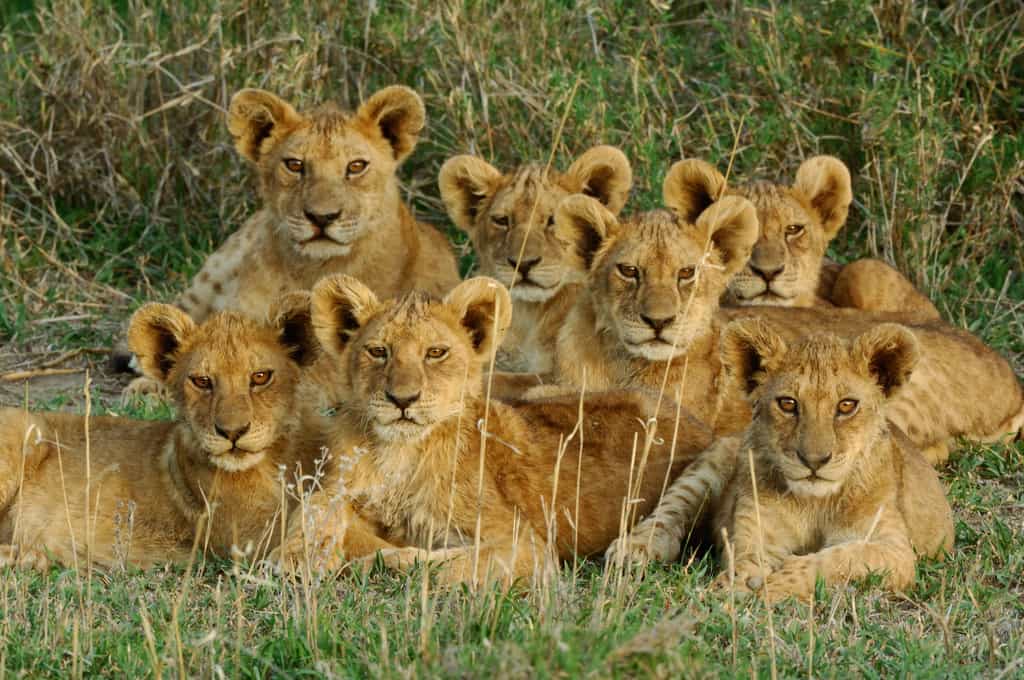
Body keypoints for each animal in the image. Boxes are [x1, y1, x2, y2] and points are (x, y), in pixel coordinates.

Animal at [0, 295, 323, 569]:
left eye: (260, 377)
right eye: (202, 381)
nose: (232, 432)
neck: (277, 456)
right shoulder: (248, 536)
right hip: (23, 429)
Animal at [273, 275, 712, 586]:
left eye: (436, 353)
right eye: (378, 351)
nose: (402, 399)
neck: (401, 454)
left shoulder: (528, 548)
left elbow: (453, 563)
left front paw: (384, 560)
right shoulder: (338, 485)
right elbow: (314, 505)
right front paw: (295, 558)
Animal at [607, 320, 955, 603]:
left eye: (846, 406)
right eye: (788, 404)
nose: (814, 460)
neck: (815, 503)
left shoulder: (895, 549)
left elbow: (837, 559)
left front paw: (771, 588)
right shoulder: (756, 532)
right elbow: (747, 559)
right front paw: (737, 585)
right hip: (713, 462)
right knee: (669, 511)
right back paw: (632, 550)